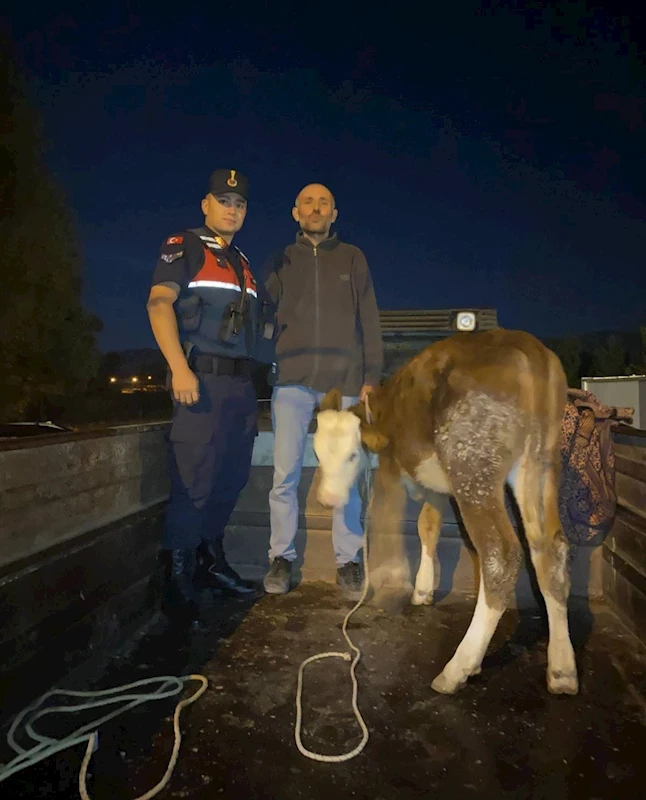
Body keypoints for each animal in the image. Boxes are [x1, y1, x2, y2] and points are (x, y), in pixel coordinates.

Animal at [312, 328, 580, 696]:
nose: (327, 499)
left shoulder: (392, 470)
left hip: (472, 463)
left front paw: (390, 587)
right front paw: (423, 588)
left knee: (500, 554)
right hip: (539, 465)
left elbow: (389, 521)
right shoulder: (435, 485)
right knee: (550, 550)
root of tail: (529, 348)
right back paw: (562, 668)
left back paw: (458, 668)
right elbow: (428, 525)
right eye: (317, 452)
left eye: (353, 455)